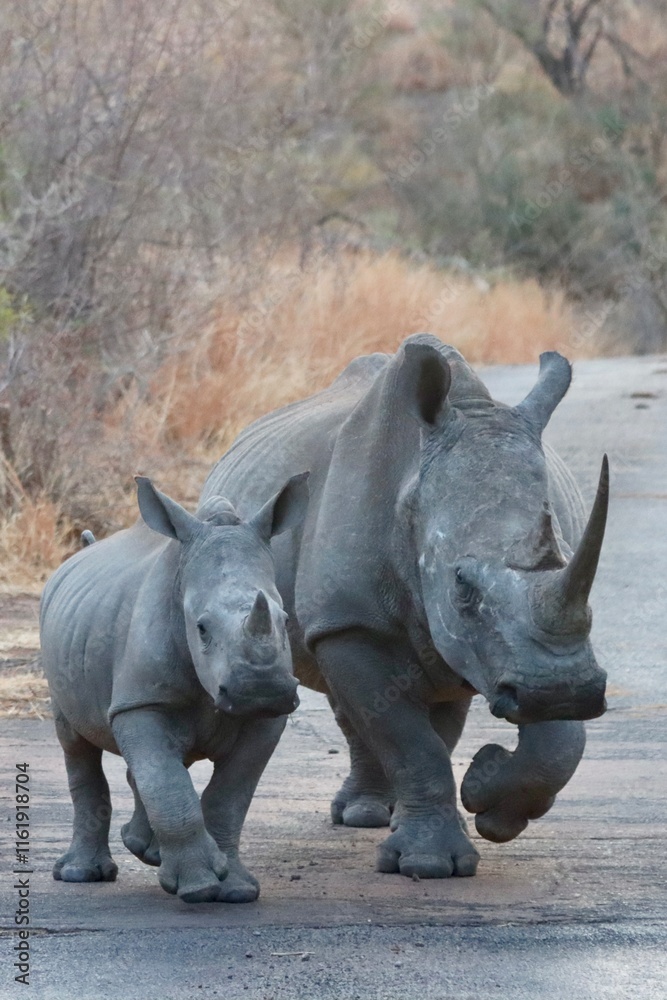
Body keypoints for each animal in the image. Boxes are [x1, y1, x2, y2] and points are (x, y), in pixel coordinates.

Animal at [40, 472, 309, 903]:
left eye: (285, 619)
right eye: (201, 628)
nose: (260, 690)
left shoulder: (269, 719)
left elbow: (230, 795)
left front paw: (235, 889)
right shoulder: (140, 701)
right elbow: (167, 785)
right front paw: (198, 886)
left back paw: (146, 851)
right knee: (76, 743)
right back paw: (81, 874)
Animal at [200, 334, 609, 879]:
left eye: (568, 557)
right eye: (461, 585)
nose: (564, 692)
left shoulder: (541, 646)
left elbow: (559, 741)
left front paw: (489, 799)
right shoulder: (349, 622)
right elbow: (406, 738)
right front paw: (428, 863)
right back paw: (365, 815)